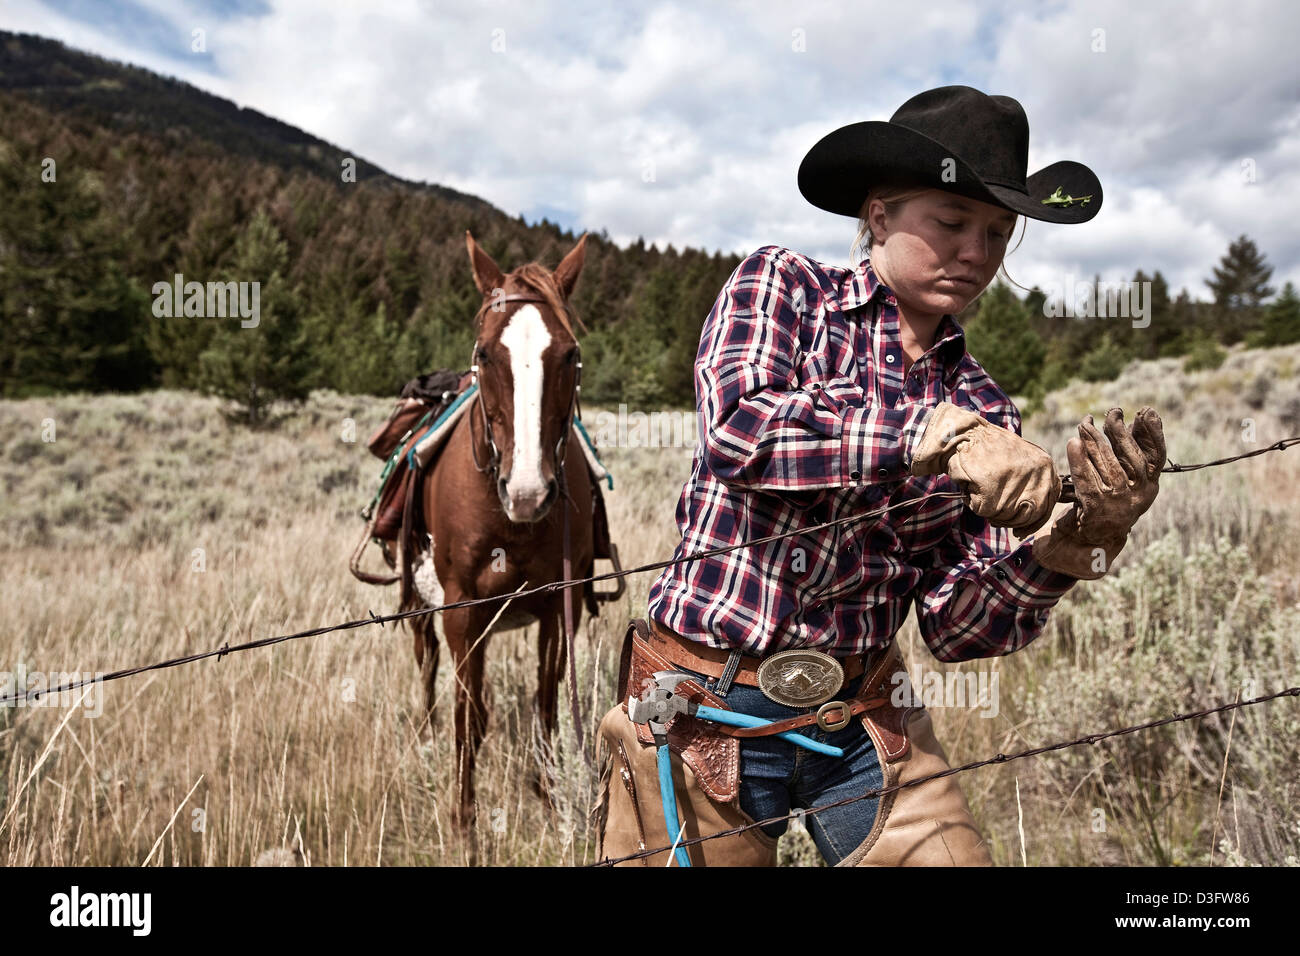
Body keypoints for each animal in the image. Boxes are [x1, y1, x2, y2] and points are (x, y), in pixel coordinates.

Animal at [397, 230, 595, 832]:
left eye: (570, 353)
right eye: (485, 353)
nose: (528, 492)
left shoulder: (558, 606)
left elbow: (546, 705)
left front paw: (550, 799)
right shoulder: (461, 611)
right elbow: (469, 715)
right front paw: (464, 822)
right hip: (421, 604)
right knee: (427, 670)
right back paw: (424, 738)